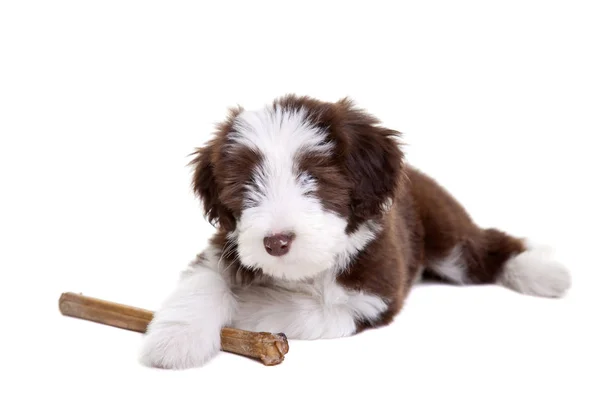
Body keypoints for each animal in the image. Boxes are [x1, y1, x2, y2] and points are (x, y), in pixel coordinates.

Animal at [137, 94, 572, 368]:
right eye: (246, 187)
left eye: (313, 179)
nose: (276, 242)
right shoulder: (224, 247)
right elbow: (203, 282)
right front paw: (174, 340)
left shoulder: (370, 297)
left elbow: (304, 309)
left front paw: (247, 303)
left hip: (448, 237)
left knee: (487, 247)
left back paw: (544, 272)